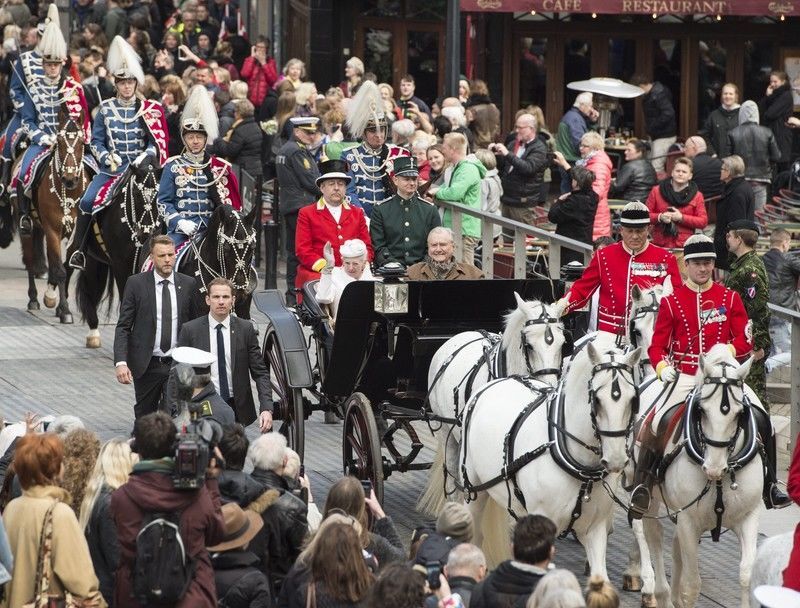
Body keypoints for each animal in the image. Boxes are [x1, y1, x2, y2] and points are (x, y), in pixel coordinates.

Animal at [20, 107, 88, 324]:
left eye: (82, 143)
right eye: (59, 141)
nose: (69, 179)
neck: (69, 194)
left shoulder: (75, 234)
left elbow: (66, 267)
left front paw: (58, 305)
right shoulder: (52, 230)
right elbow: (59, 270)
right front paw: (65, 310)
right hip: (28, 226)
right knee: (30, 259)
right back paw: (34, 299)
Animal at [460, 332, 640, 576]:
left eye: (633, 400)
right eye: (597, 399)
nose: (616, 459)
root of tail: (498, 382)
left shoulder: (595, 530)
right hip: (475, 491)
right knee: (476, 536)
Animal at [632, 346, 764, 608]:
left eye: (740, 414)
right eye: (701, 411)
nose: (713, 468)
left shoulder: (748, 516)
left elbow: (746, 574)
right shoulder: (688, 521)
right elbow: (692, 585)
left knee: (672, 546)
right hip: (647, 497)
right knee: (652, 535)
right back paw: (655, 590)